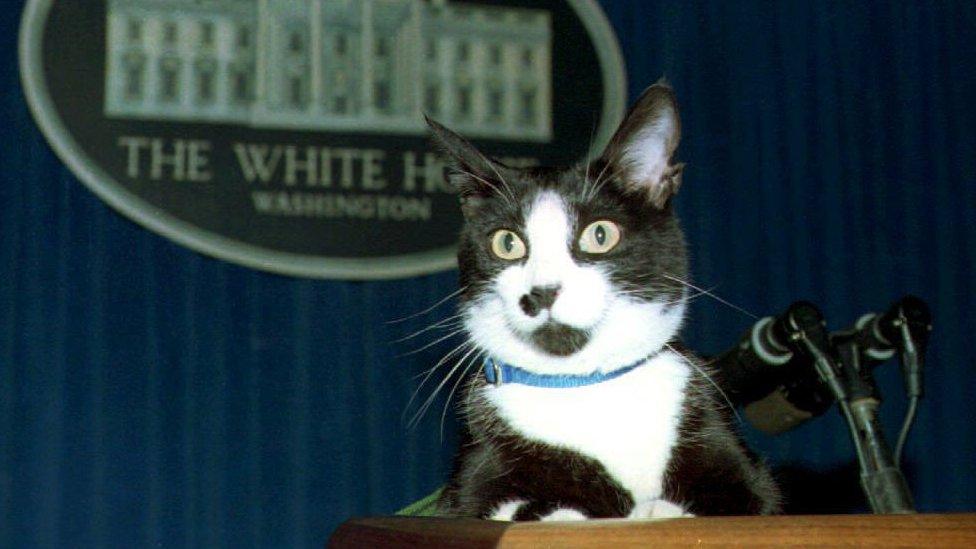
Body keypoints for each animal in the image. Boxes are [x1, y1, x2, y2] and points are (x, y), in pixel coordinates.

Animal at [424, 80, 780, 520]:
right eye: (506, 243)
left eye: (599, 235)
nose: (542, 291)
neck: (586, 386)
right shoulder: (467, 483)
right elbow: (499, 508)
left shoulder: (742, 466)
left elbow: (747, 500)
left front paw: (661, 510)